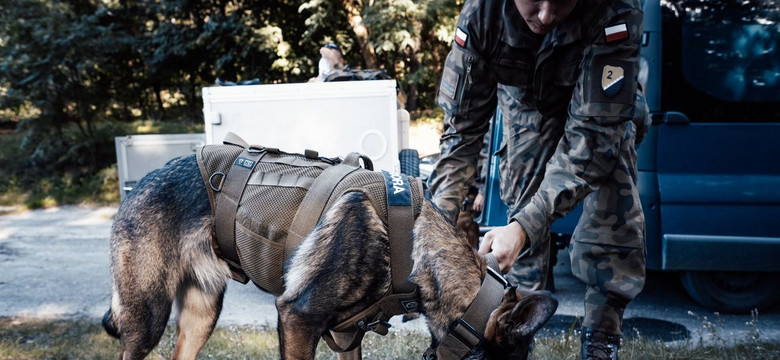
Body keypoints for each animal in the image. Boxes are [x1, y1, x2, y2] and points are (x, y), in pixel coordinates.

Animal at [103, 153, 556, 358]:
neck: (413, 253)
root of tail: (138, 185)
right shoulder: (297, 318)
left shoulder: (344, 336)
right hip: (148, 316)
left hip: (201, 316)